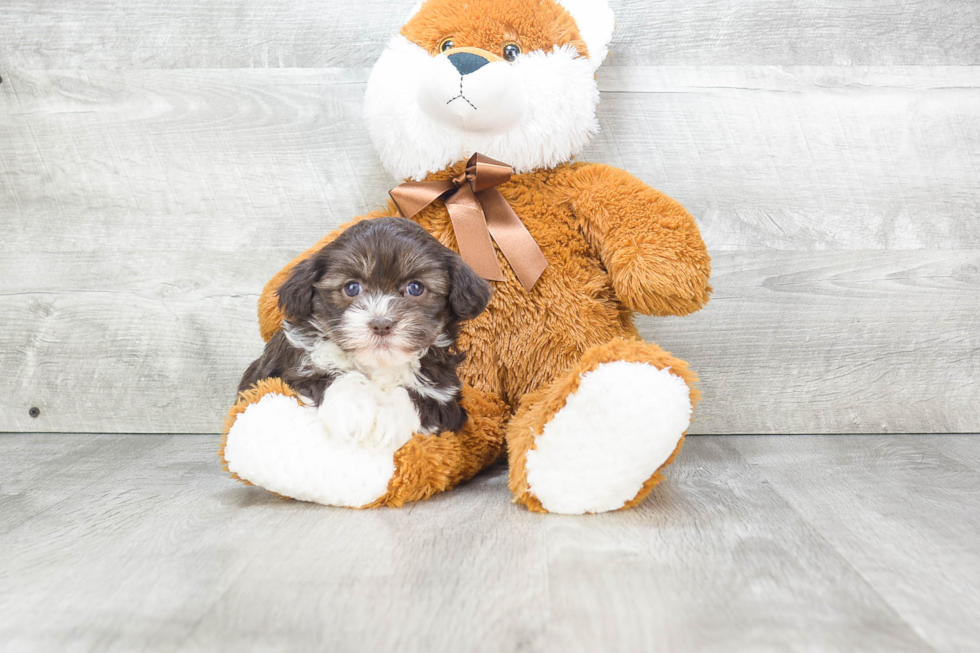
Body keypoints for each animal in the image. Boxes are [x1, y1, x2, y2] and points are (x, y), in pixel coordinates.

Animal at [237, 219, 490, 448]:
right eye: (352, 288)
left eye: (415, 288)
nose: (381, 324)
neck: (377, 364)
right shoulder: (292, 370)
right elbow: (333, 376)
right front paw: (355, 412)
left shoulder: (444, 395)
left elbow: (415, 398)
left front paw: (386, 421)